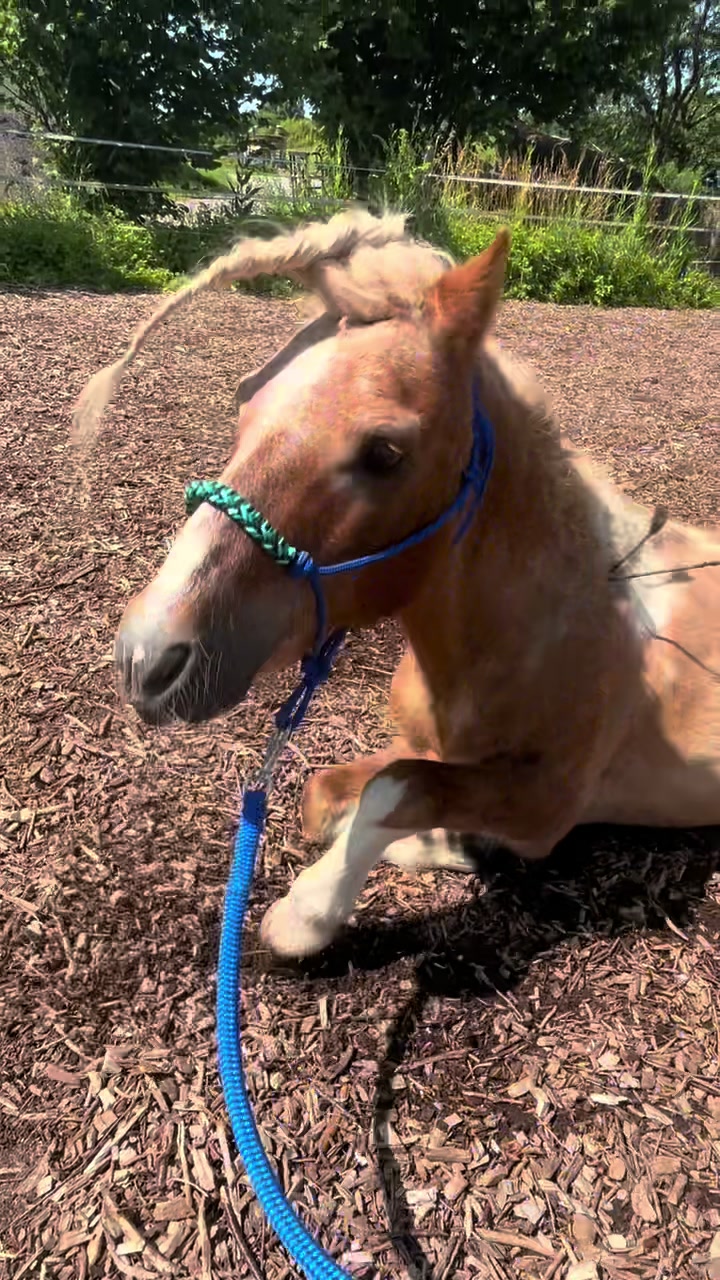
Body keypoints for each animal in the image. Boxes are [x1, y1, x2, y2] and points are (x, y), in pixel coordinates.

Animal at [73, 210, 720, 961]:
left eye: (385, 452)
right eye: (244, 402)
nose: (146, 657)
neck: (549, 629)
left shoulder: (549, 799)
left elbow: (395, 791)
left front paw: (309, 911)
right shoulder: (439, 754)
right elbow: (334, 792)